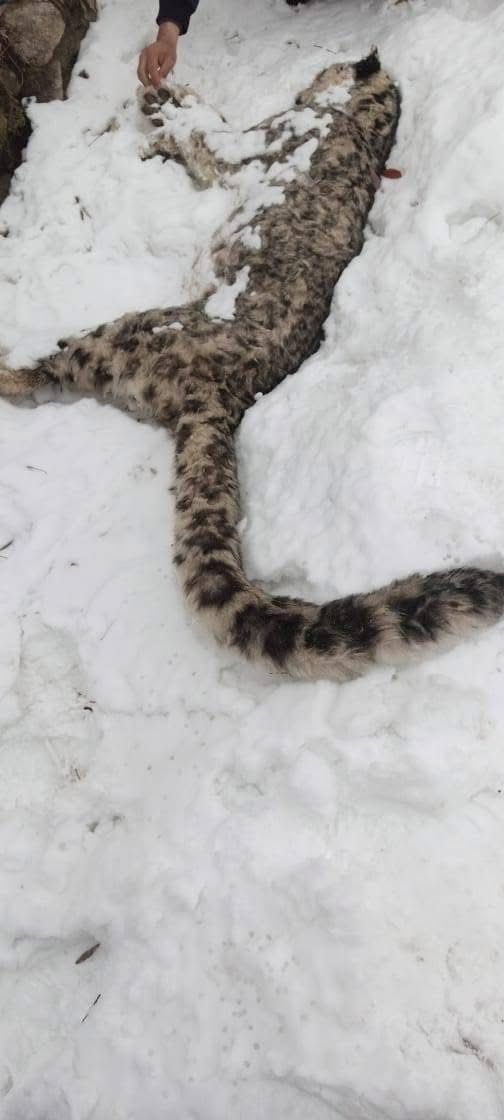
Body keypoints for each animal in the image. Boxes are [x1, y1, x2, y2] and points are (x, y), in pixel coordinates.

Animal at [2, 51, 503, 682]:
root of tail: (222, 395)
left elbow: (208, 133)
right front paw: (165, 110)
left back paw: (13, 359)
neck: (357, 124)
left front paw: (163, 105)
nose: (317, 74)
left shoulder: (246, 143)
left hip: (125, 333)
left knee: (43, 371)